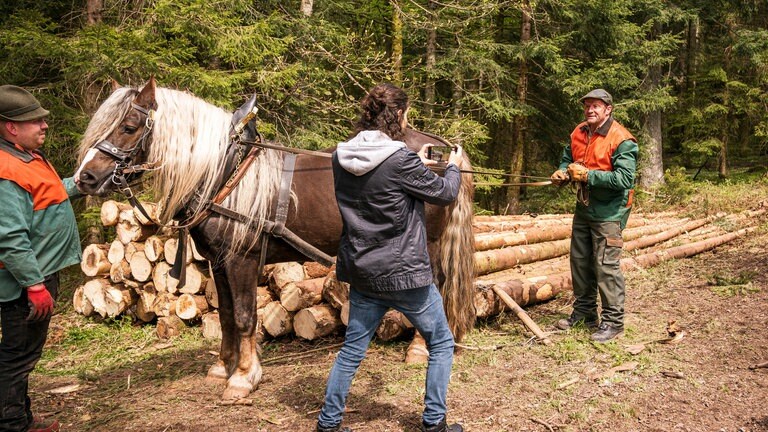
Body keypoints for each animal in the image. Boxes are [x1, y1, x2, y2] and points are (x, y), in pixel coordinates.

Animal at [76, 79, 474, 400]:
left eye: (129, 127)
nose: (85, 178)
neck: (226, 174)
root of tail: (438, 149)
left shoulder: (241, 259)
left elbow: (244, 316)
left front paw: (243, 377)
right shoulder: (218, 261)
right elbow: (224, 315)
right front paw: (223, 367)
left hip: (430, 244)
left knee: (435, 287)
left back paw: (420, 349)